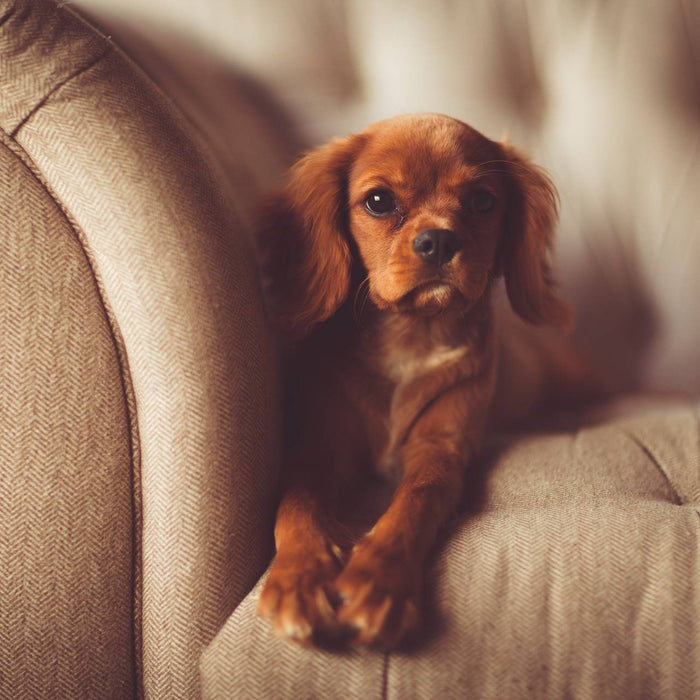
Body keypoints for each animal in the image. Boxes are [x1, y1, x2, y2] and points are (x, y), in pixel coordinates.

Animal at [254, 112, 588, 648]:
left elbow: (416, 501)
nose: (439, 241)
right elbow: (296, 503)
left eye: (482, 201)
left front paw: (378, 581)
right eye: (378, 201)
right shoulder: (321, 447)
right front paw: (298, 578)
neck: (413, 336)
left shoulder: (441, 449)